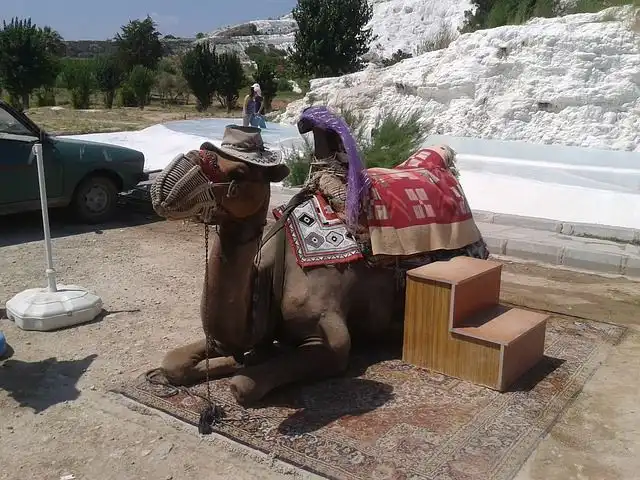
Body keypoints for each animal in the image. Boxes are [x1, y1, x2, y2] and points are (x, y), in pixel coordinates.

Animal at [150, 109, 488, 407]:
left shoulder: (331, 340)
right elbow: (172, 363)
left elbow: (243, 385)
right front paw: (235, 359)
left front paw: (244, 366)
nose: (164, 187)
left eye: (240, 171)